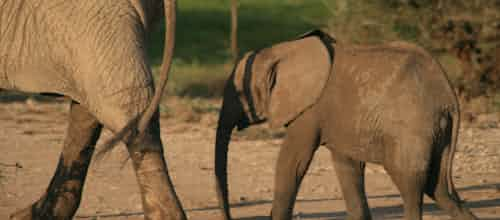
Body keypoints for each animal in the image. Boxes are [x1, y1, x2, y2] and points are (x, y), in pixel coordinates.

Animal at [213, 30, 478, 220]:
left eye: (239, 95)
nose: (228, 218)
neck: (282, 50)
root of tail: (450, 98)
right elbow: (347, 166)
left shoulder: (310, 110)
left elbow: (292, 162)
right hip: (436, 130)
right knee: (439, 189)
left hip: (412, 127)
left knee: (411, 185)